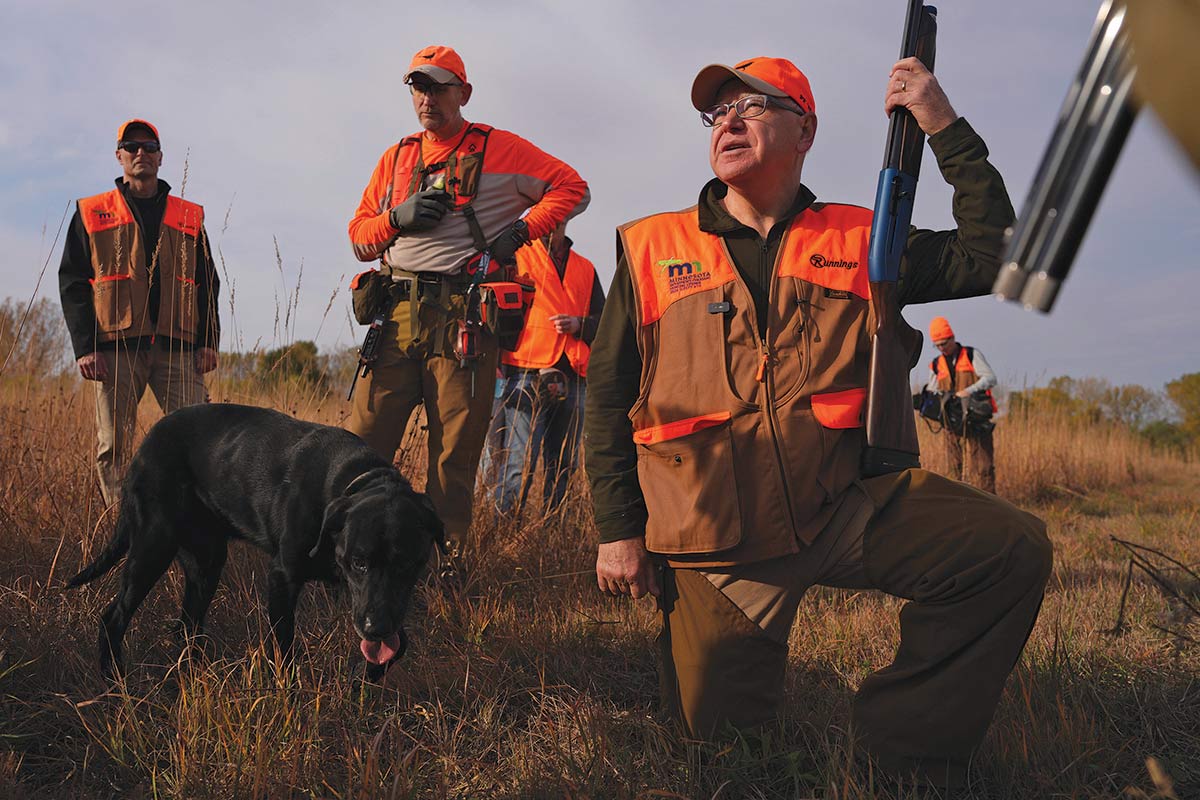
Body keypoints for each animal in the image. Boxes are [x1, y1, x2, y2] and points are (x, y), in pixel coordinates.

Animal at [65, 402, 444, 681]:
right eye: (359, 562)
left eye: (409, 565)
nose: (375, 629)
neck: (351, 480)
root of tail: (143, 448)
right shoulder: (282, 577)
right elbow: (285, 646)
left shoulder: (372, 601)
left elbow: (399, 642)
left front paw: (366, 677)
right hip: (152, 547)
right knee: (113, 618)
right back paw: (114, 680)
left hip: (206, 562)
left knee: (187, 626)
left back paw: (193, 676)